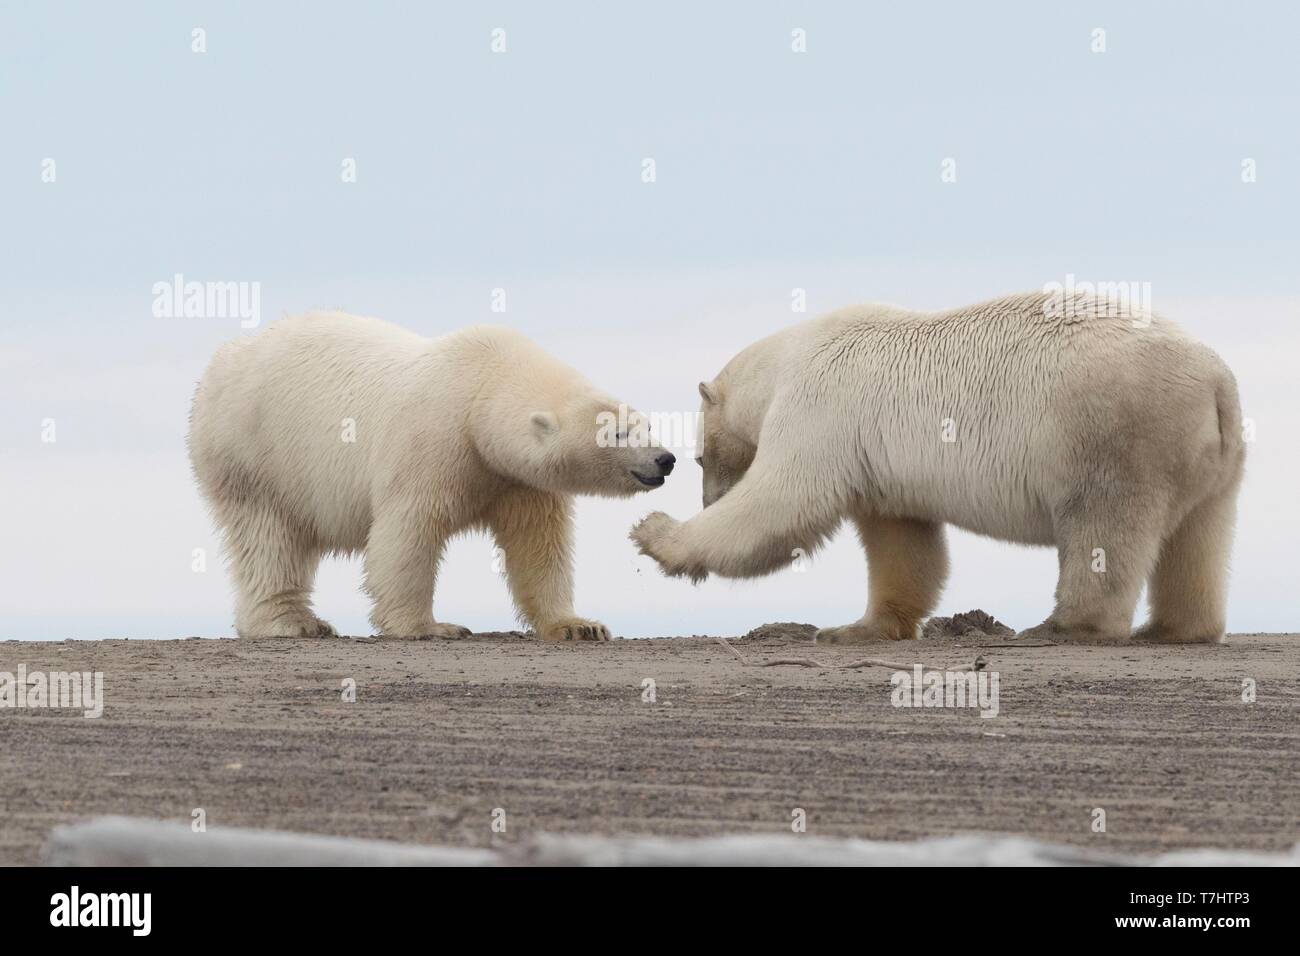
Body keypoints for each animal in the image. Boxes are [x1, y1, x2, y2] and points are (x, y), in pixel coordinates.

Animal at [189, 314, 676, 642]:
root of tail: (223, 361)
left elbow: (538, 544)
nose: (666, 459)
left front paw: (579, 625)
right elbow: (407, 533)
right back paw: (292, 622)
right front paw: (431, 626)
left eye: (646, 424)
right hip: (257, 454)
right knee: (269, 537)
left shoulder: (514, 479)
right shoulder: (433, 444)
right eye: (616, 432)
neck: (480, 390)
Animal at [634, 291, 1242, 647]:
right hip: (1210, 459)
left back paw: (1065, 626)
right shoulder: (877, 459)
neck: (782, 364)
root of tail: (1216, 379)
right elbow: (901, 539)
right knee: (1198, 536)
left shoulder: (821, 408)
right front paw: (858, 628)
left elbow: (782, 501)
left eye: (699, 456)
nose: (708, 499)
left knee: (1103, 523)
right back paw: (1176, 628)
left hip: (1110, 430)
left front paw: (655, 534)